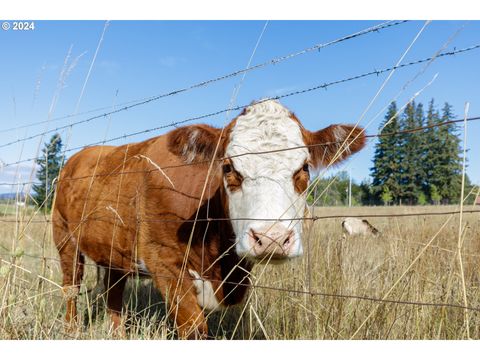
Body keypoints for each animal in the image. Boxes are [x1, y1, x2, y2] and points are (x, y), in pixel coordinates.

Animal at [51, 100, 364, 338]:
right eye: (228, 167)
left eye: (304, 168)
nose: (272, 238)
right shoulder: (164, 263)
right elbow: (194, 329)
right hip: (64, 237)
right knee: (71, 287)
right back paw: (71, 330)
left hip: (115, 249)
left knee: (114, 293)